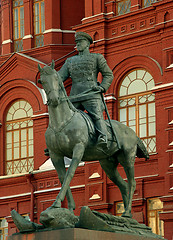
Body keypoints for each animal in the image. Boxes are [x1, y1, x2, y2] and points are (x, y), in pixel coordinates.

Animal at [37, 61, 149, 218]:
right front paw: (69, 207)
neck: (62, 122)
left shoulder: (78, 149)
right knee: (123, 184)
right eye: (41, 81)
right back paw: (127, 216)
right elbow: (62, 177)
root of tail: (132, 132)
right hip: (108, 165)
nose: (54, 100)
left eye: (56, 78)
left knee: (132, 183)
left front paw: (57, 203)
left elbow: (70, 174)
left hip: (127, 158)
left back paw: (127, 213)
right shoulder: (55, 155)